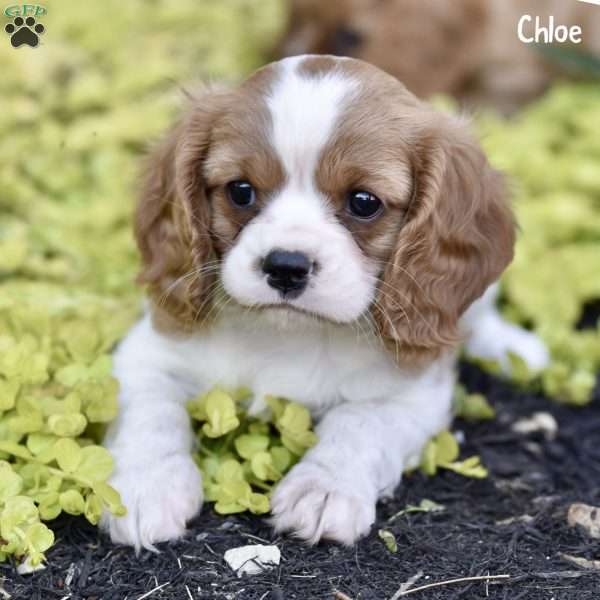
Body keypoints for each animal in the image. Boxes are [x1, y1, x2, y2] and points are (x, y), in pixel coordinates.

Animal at [102, 55, 548, 548]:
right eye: (240, 190)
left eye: (364, 202)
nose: (285, 266)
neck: (291, 333)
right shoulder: (145, 355)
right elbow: (152, 413)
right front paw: (146, 485)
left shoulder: (413, 393)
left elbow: (360, 422)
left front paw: (323, 489)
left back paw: (514, 351)